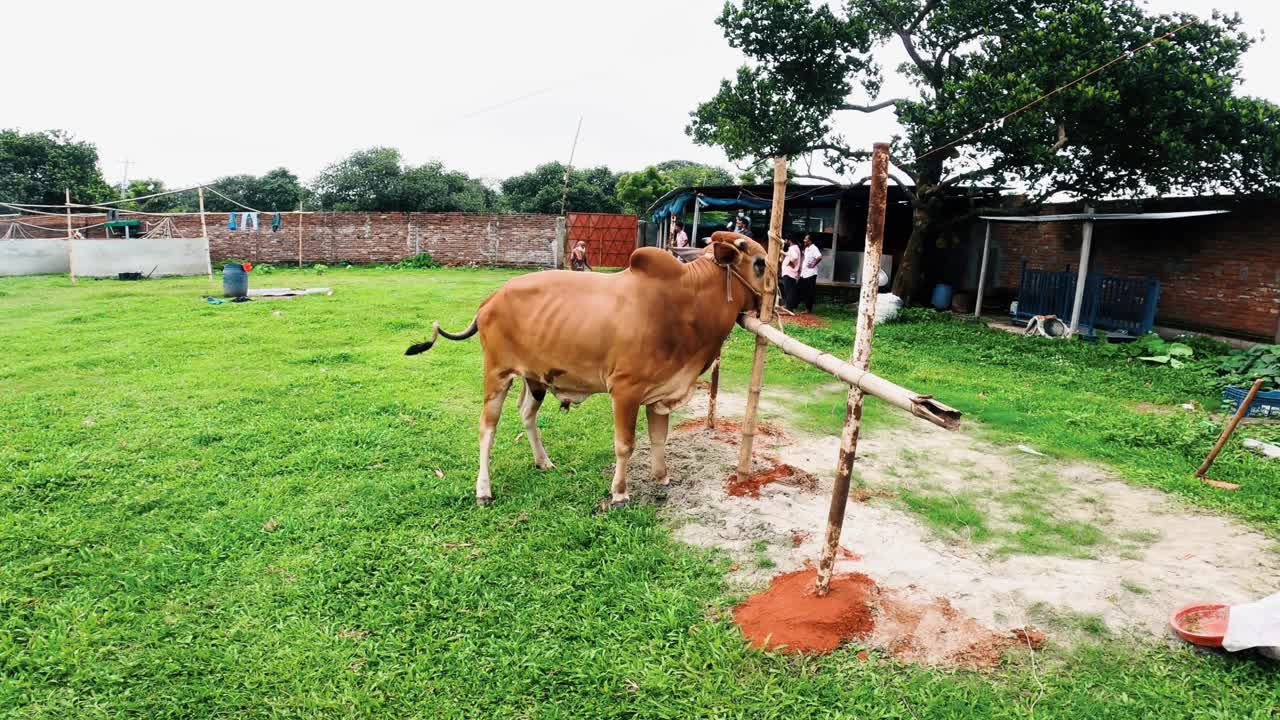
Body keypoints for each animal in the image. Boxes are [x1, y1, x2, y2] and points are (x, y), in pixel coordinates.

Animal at [404, 229, 762, 504]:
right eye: (759, 263)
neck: (688, 303)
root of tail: (490, 300)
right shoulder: (625, 390)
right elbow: (625, 445)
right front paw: (619, 494)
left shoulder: (662, 392)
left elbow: (659, 439)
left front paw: (662, 478)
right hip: (497, 374)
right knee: (486, 429)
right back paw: (484, 490)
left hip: (534, 379)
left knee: (526, 414)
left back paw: (543, 461)